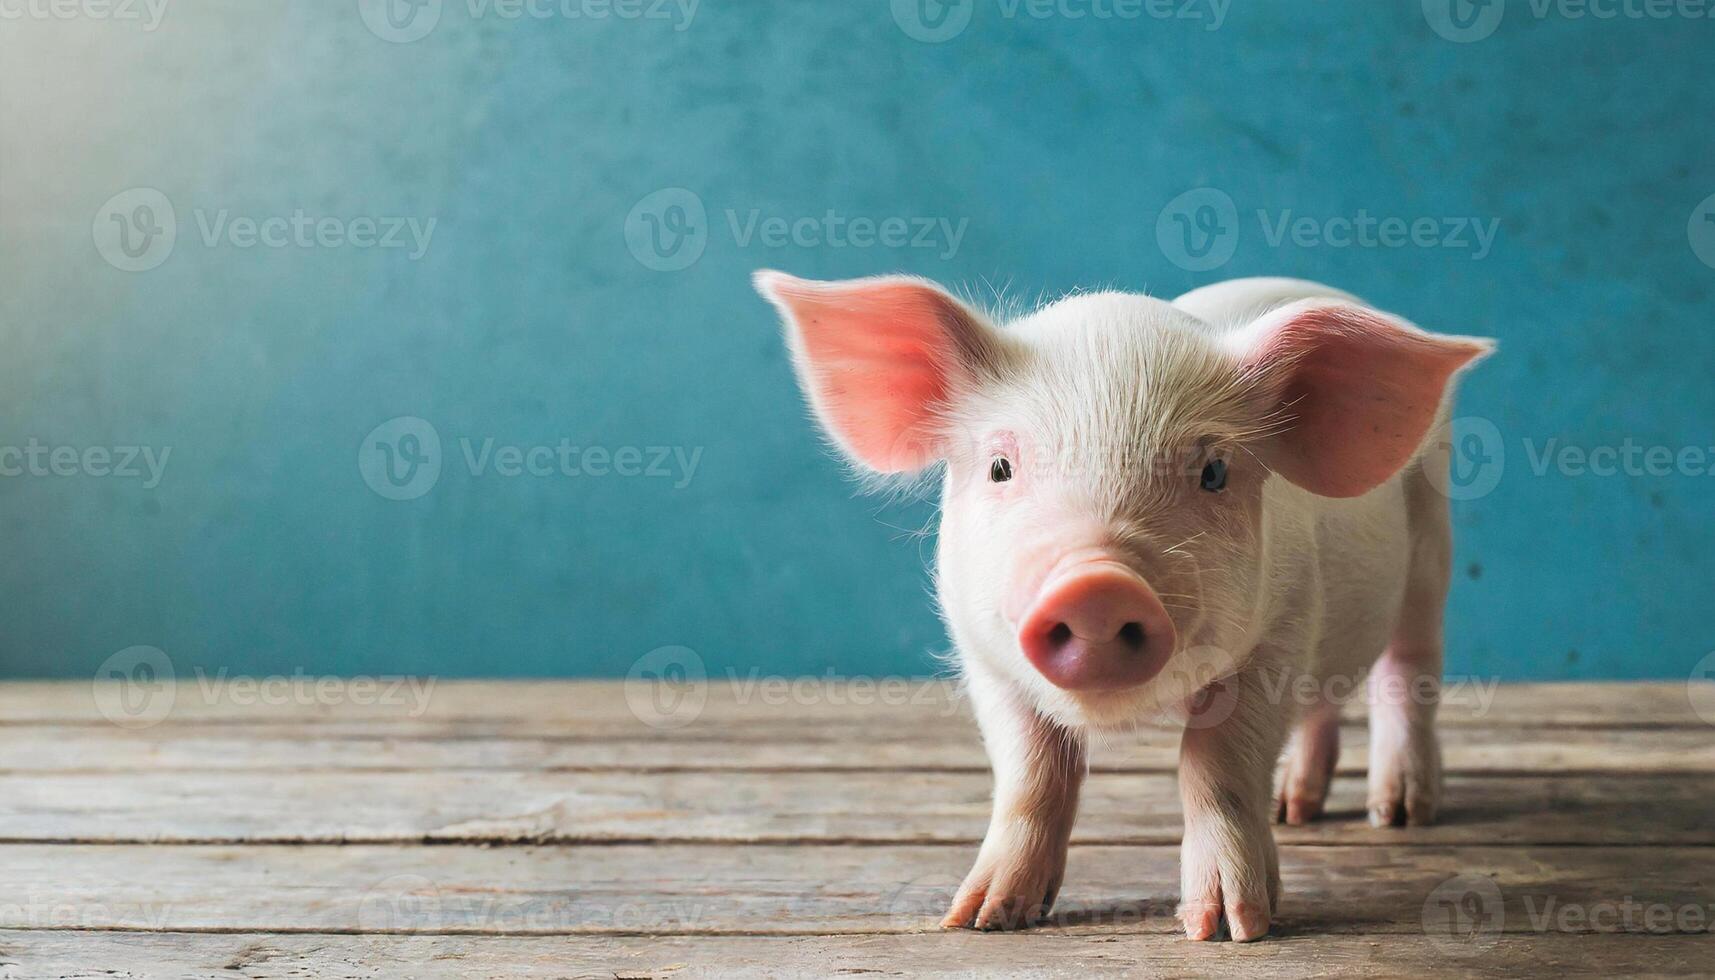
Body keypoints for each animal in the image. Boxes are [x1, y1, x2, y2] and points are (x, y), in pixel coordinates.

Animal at [758, 274, 1495, 940]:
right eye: (1000, 467)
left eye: (1214, 472)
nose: (1096, 584)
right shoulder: (983, 655)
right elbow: (1030, 769)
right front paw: (979, 918)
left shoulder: (1282, 629)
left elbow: (1216, 763)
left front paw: (1229, 928)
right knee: (1325, 702)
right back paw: (1295, 809)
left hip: (1431, 550)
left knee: (1406, 669)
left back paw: (1399, 814)